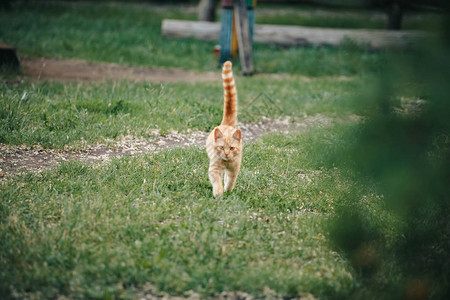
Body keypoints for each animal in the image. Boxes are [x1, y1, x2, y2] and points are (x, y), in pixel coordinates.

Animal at [207, 61, 244, 197]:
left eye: (232, 148)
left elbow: (230, 180)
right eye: (222, 147)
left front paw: (228, 190)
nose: (227, 154)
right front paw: (219, 192)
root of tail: (226, 123)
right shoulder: (214, 169)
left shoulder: (234, 169)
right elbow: (217, 181)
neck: (226, 162)